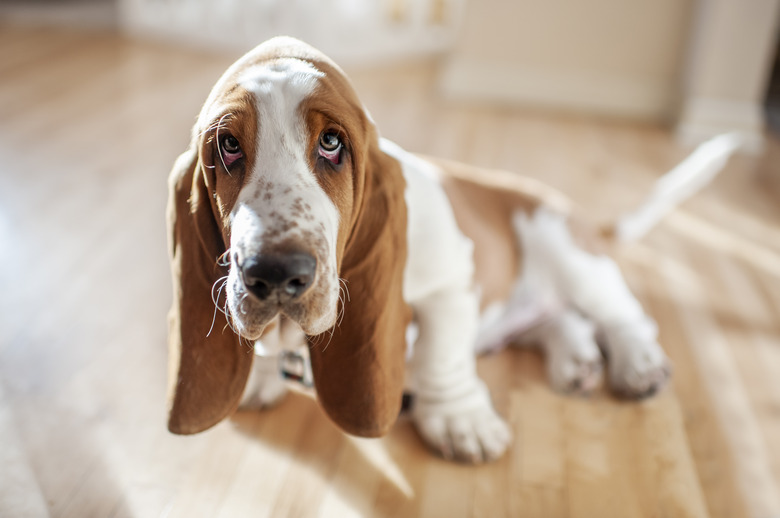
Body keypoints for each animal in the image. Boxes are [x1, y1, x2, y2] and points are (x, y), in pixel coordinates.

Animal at [166, 37, 744, 468]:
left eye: (332, 143)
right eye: (228, 147)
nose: (275, 273)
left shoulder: (451, 281)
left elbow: (441, 351)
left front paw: (459, 419)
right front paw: (260, 376)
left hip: (568, 252)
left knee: (625, 318)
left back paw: (637, 365)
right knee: (559, 322)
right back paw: (575, 361)